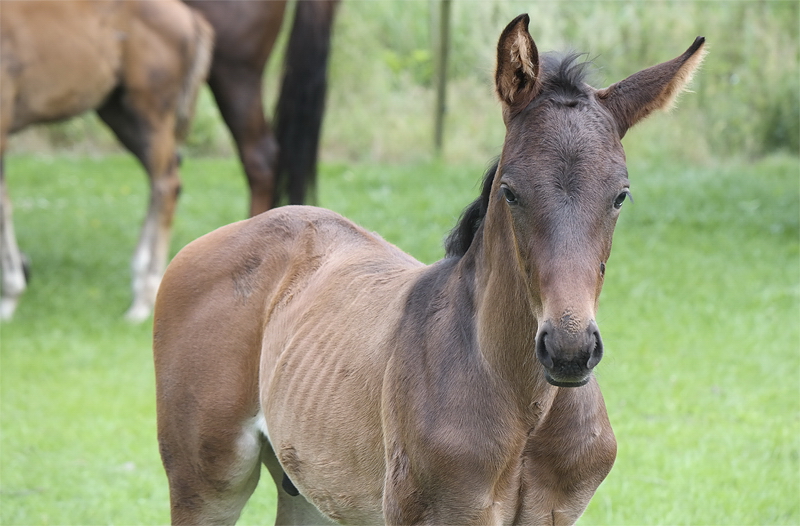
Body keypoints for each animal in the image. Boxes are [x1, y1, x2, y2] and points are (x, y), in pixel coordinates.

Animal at [0, 0, 212, 322]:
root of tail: (190, 16)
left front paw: (10, 297)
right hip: (118, 113)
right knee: (160, 180)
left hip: (150, 111)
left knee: (166, 184)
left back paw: (144, 298)